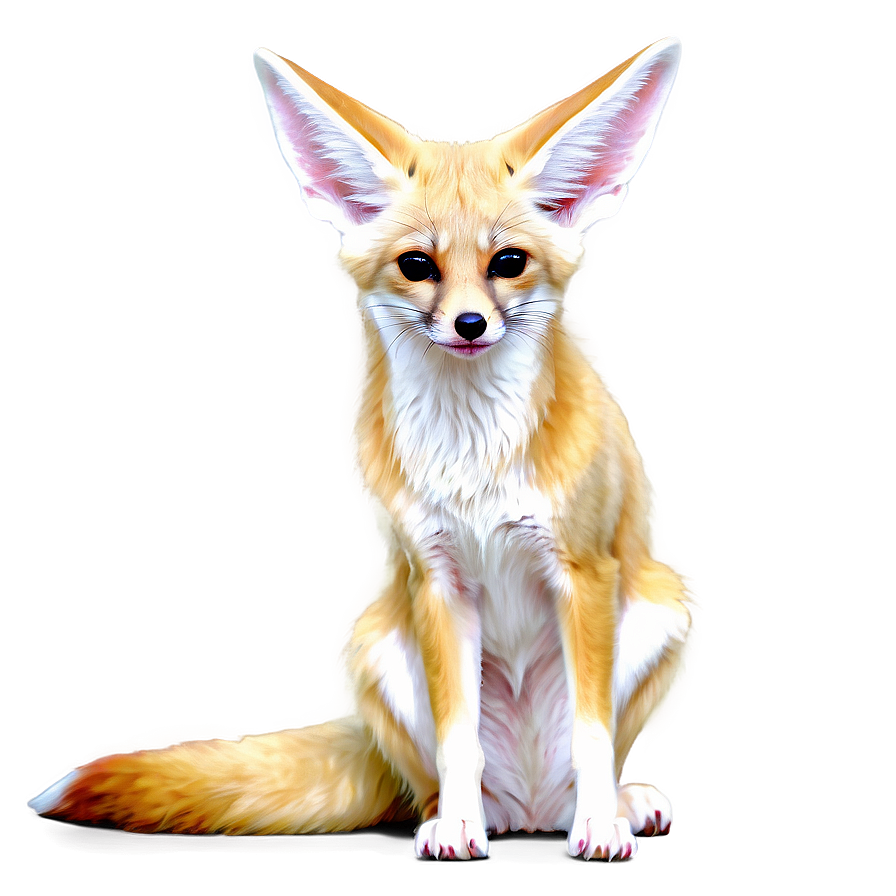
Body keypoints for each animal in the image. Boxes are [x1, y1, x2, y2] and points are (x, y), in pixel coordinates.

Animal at [29, 36, 692, 862]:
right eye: (418, 265)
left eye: (508, 263)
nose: (469, 325)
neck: (472, 456)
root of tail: (532, 810)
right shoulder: (437, 579)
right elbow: (458, 738)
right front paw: (461, 829)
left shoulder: (584, 570)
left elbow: (591, 733)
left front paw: (600, 824)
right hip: (376, 644)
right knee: (431, 784)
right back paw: (458, 816)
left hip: (661, 612)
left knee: (580, 761)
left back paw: (614, 805)